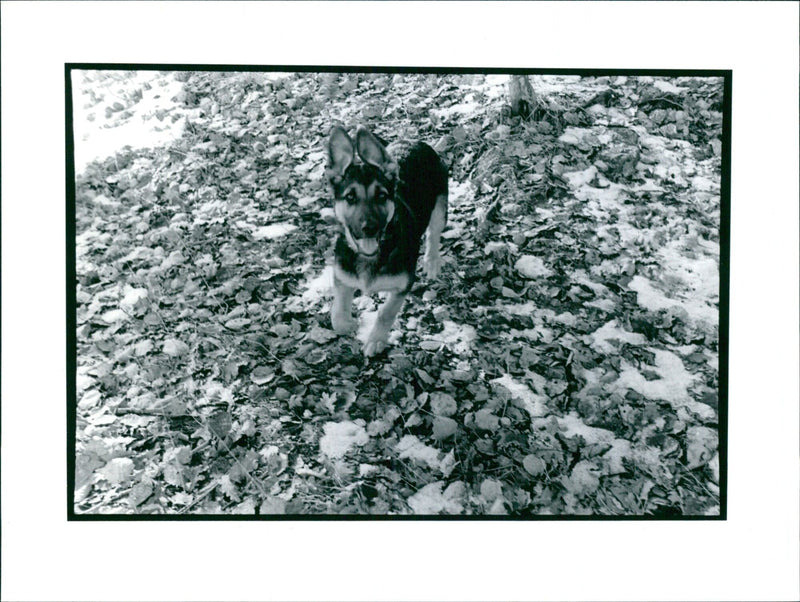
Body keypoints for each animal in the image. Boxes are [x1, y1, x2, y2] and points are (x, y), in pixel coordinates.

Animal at [326, 124, 450, 354]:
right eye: (350, 197)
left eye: (382, 196)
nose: (369, 228)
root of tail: (412, 141)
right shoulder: (341, 276)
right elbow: (337, 313)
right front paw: (348, 324)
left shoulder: (404, 285)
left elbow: (386, 312)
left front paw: (376, 340)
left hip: (440, 206)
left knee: (433, 234)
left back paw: (431, 261)